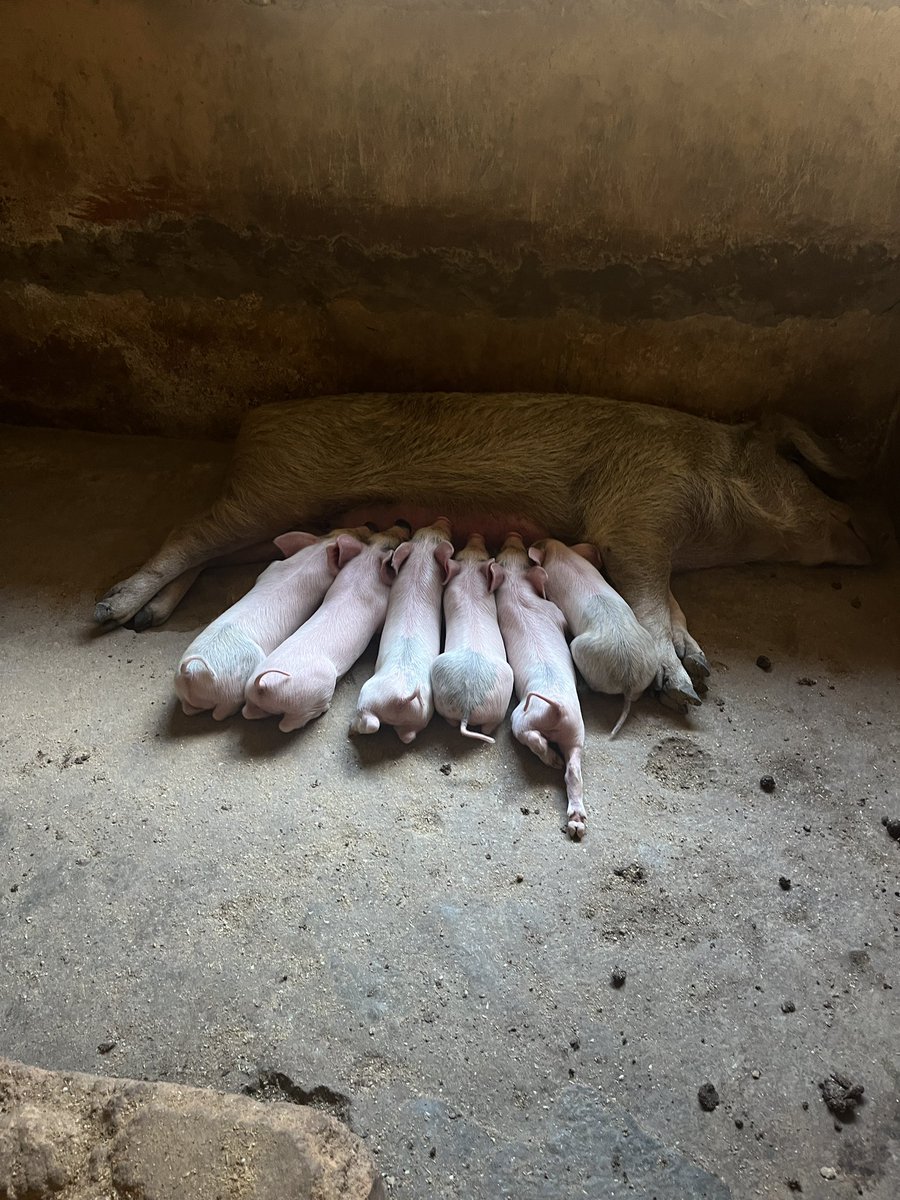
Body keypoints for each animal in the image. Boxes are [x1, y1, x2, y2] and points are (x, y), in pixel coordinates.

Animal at [174, 526, 370, 719]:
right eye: (355, 536)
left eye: (336, 530)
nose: (368, 526)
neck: (314, 555)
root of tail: (190, 672)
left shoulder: (273, 567)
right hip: (230, 692)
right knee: (220, 712)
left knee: (188, 708)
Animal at [241, 526, 407, 731]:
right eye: (392, 546)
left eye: (375, 536)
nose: (402, 524)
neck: (366, 563)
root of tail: (263, 685)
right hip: (310, 693)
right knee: (287, 724)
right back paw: (324, 708)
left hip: (251, 695)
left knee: (248, 712)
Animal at [351, 519, 453, 742]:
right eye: (424, 529)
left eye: (443, 535)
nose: (443, 519)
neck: (423, 555)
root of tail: (400, 697)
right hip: (418, 715)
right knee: (405, 735)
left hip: (370, 696)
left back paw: (351, 728)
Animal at [493, 534, 587, 840]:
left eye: (513, 552)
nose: (513, 536)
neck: (514, 587)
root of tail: (555, 709)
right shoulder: (555, 611)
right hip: (554, 726)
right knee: (563, 763)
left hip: (569, 729)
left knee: (569, 770)